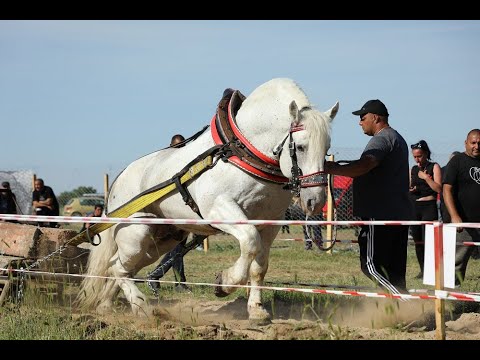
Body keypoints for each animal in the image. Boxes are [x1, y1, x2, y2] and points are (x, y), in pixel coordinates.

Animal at [76, 78, 338, 324]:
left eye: (327, 148)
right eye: (301, 147)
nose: (315, 200)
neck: (242, 150)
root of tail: (118, 182)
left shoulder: (270, 222)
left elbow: (259, 267)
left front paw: (257, 310)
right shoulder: (220, 210)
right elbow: (250, 242)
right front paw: (225, 283)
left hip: (162, 240)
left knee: (119, 267)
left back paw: (106, 305)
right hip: (136, 234)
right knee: (118, 268)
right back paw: (140, 306)